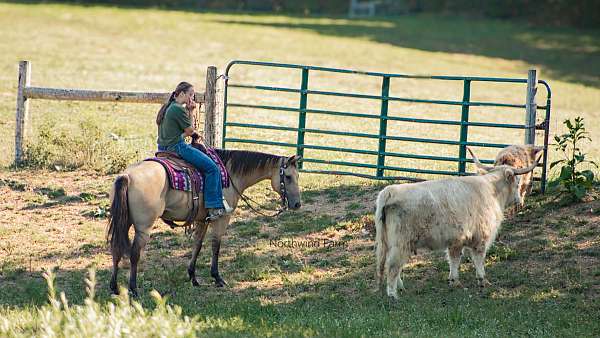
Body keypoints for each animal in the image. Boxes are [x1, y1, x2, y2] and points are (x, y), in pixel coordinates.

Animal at [106, 143, 302, 296]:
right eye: (288, 177)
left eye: (297, 176)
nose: (297, 204)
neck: (230, 173)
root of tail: (126, 176)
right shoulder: (222, 218)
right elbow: (216, 245)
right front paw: (217, 278)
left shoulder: (202, 220)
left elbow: (197, 245)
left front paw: (193, 277)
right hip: (143, 227)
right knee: (134, 254)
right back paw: (133, 289)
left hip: (124, 222)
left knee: (116, 250)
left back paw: (114, 287)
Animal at [376, 147, 540, 298]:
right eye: (517, 182)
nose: (519, 200)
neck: (492, 191)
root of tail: (389, 191)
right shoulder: (480, 237)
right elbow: (478, 259)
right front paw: (483, 280)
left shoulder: (457, 239)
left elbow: (454, 259)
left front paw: (454, 281)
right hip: (401, 243)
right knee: (393, 267)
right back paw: (393, 295)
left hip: (390, 243)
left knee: (393, 266)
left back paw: (401, 288)